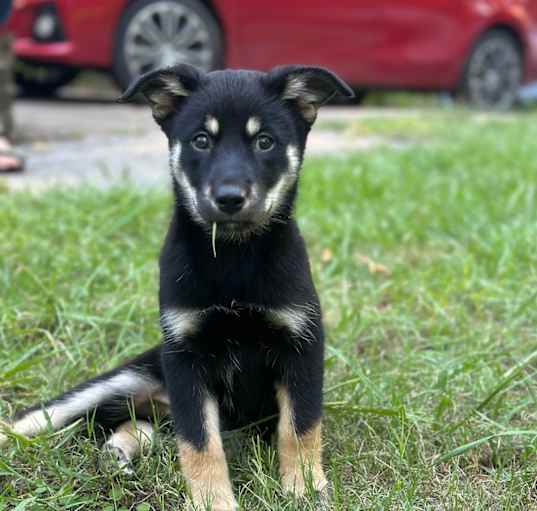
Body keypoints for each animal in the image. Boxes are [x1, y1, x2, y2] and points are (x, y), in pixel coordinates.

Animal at [0, 66, 354, 510]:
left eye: (265, 141)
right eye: (201, 140)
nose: (230, 198)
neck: (233, 256)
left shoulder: (301, 345)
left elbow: (300, 426)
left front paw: (304, 487)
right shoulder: (185, 359)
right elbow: (200, 442)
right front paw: (213, 502)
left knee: (139, 424)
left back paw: (118, 453)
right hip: (124, 380)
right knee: (41, 417)